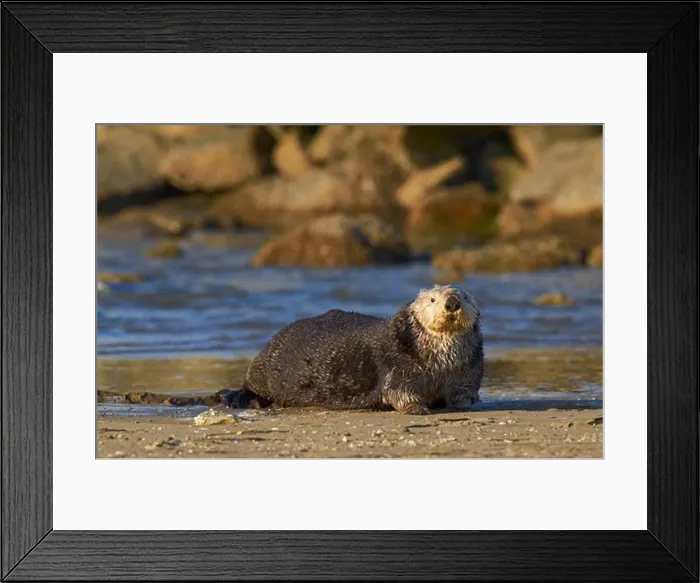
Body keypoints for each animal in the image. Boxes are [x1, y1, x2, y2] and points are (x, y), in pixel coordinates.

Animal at [229, 285, 483, 415]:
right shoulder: (397, 361)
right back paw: (247, 400)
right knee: (248, 386)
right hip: (264, 366)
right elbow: (398, 391)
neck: (440, 364)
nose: (452, 302)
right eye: (432, 299)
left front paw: (464, 403)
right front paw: (416, 408)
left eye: (465, 296)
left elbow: (463, 390)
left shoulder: (468, 368)